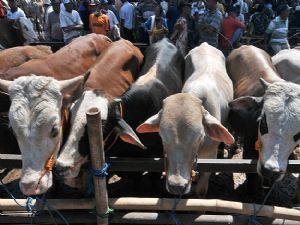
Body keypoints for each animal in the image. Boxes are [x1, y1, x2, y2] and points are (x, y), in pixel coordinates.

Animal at [137, 42, 234, 197]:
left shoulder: (209, 157)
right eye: (162, 137)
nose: (177, 186)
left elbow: (200, 191)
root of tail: (205, 44)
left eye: (199, 136)